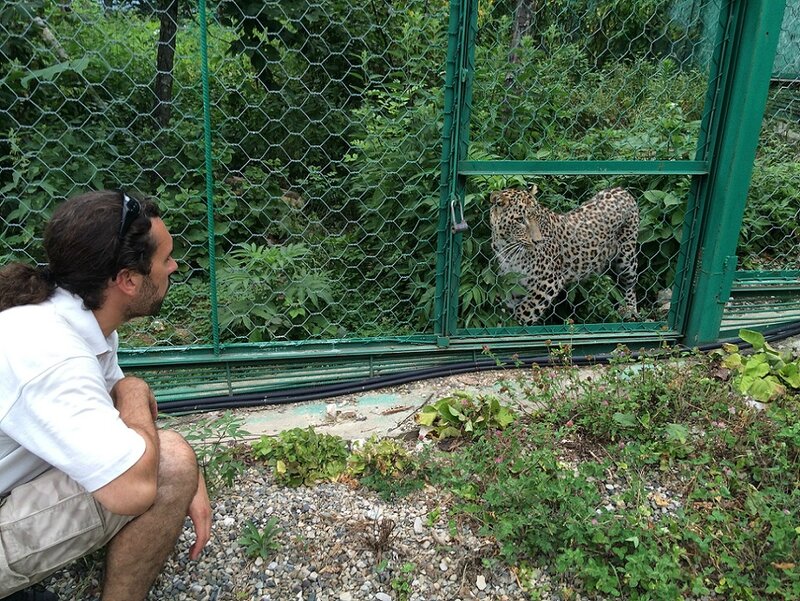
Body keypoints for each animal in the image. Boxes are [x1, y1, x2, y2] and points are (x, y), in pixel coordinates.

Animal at [488, 184, 636, 326]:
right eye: (520, 220)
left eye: (537, 217)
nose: (538, 241)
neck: (507, 248)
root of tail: (621, 190)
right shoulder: (512, 284)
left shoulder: (550, 280)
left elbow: (526, 310)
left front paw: (517, 325)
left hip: (627, 257)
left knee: (630, 284)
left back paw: (630, 311)